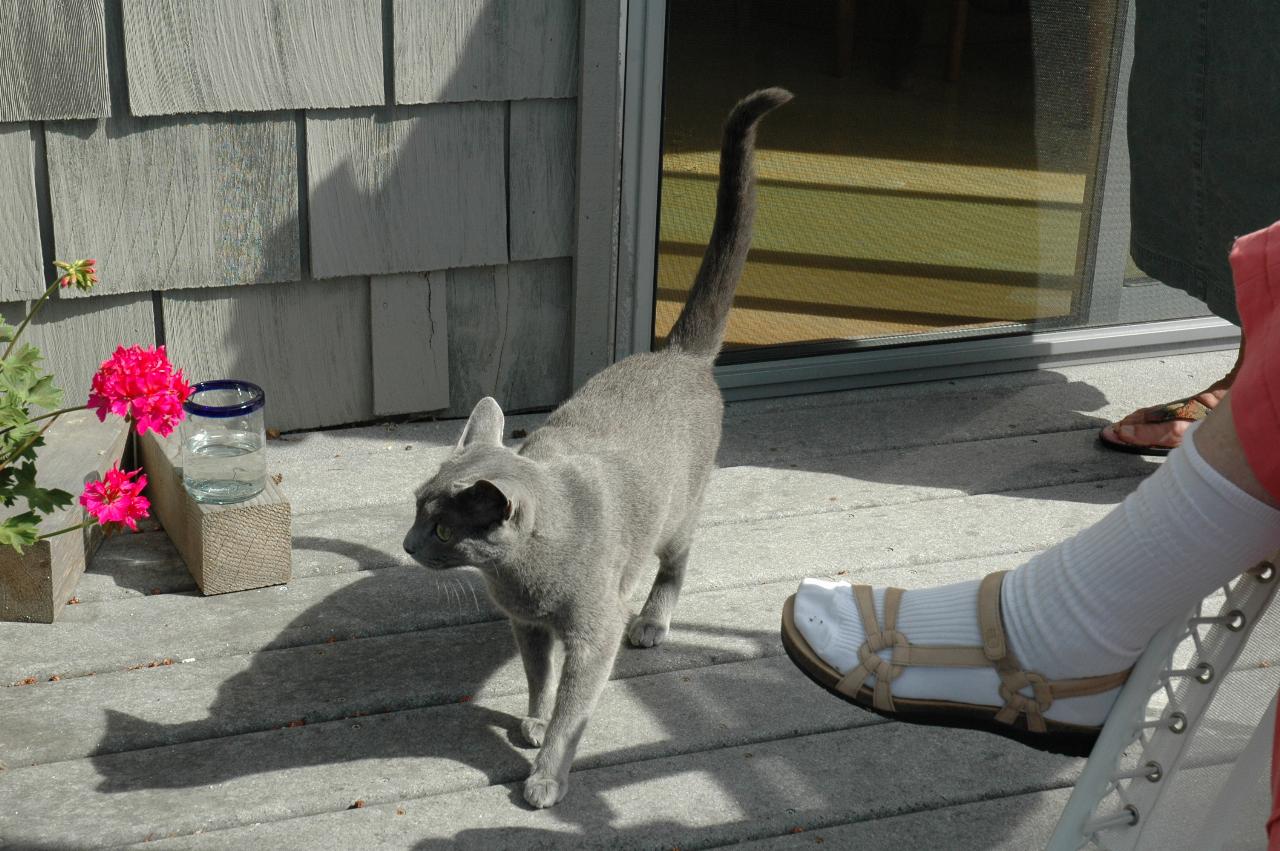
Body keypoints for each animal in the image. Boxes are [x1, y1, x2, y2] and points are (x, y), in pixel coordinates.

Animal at [404, 87, 793, 808]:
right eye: (416, 508)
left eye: (443, 527)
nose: (408, 545)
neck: (521, 577)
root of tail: (677, 354)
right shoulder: (527, 626)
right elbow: (538, 679)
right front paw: (529, 723)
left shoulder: (592, 634)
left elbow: (572, 705)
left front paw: (546, 775)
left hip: (679, 512)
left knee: (676, 563)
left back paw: (653, 621)